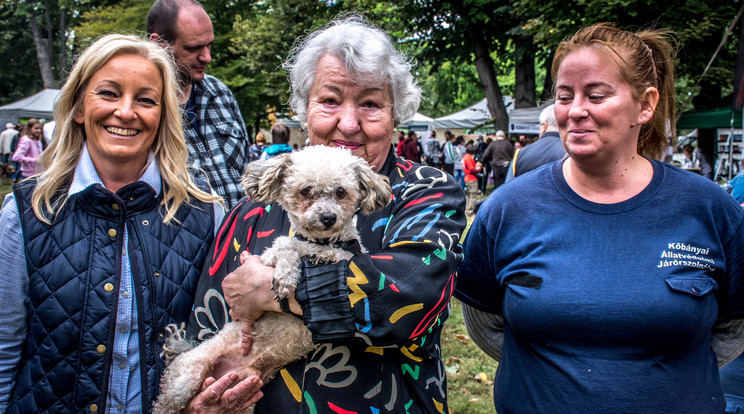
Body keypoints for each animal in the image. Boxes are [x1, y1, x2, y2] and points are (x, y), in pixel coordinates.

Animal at [153, 146, 392, 414]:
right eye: (306, 190)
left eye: (341, 191)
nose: (328, 217)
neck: (321, 241)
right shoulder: (266, 259)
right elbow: (286, 247)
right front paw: (286, 277)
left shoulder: (352, 255)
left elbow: (341, 255)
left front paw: (324, 256)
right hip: (184, 381)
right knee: (164, 405)